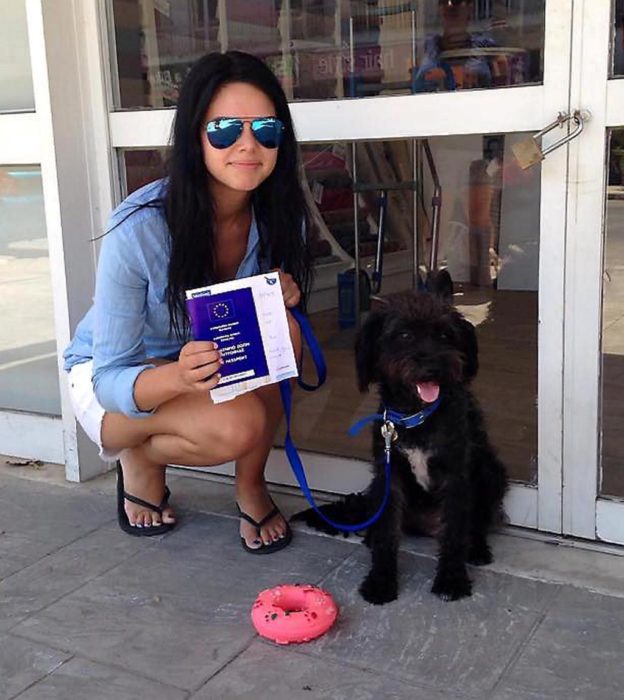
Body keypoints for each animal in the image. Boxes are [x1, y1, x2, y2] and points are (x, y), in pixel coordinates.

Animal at [292, 276, 508, 604]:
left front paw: (452, 579)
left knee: (478, 520)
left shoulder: (456, 477)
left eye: (444, 334)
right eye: (404, 334)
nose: (432, 368)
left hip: (491, 471)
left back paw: (477, 548)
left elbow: (456, 531)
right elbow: (386, 535)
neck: (416, 416)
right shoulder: (388, 476)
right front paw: (381, 581)